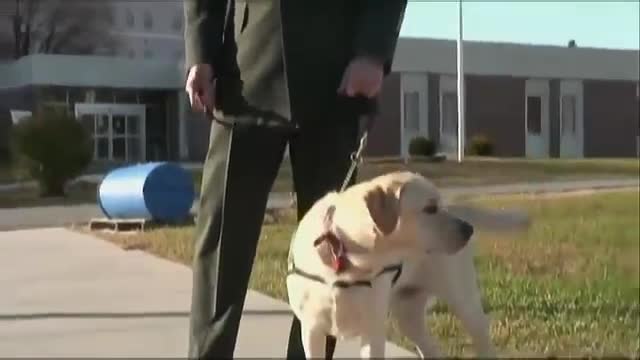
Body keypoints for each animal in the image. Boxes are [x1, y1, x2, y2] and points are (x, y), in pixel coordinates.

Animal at [288, 171, 528, 358]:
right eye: (430, 208)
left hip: (465, 304)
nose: (468, 229)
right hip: (409, 316)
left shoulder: (372, 330)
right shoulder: (311, 330)